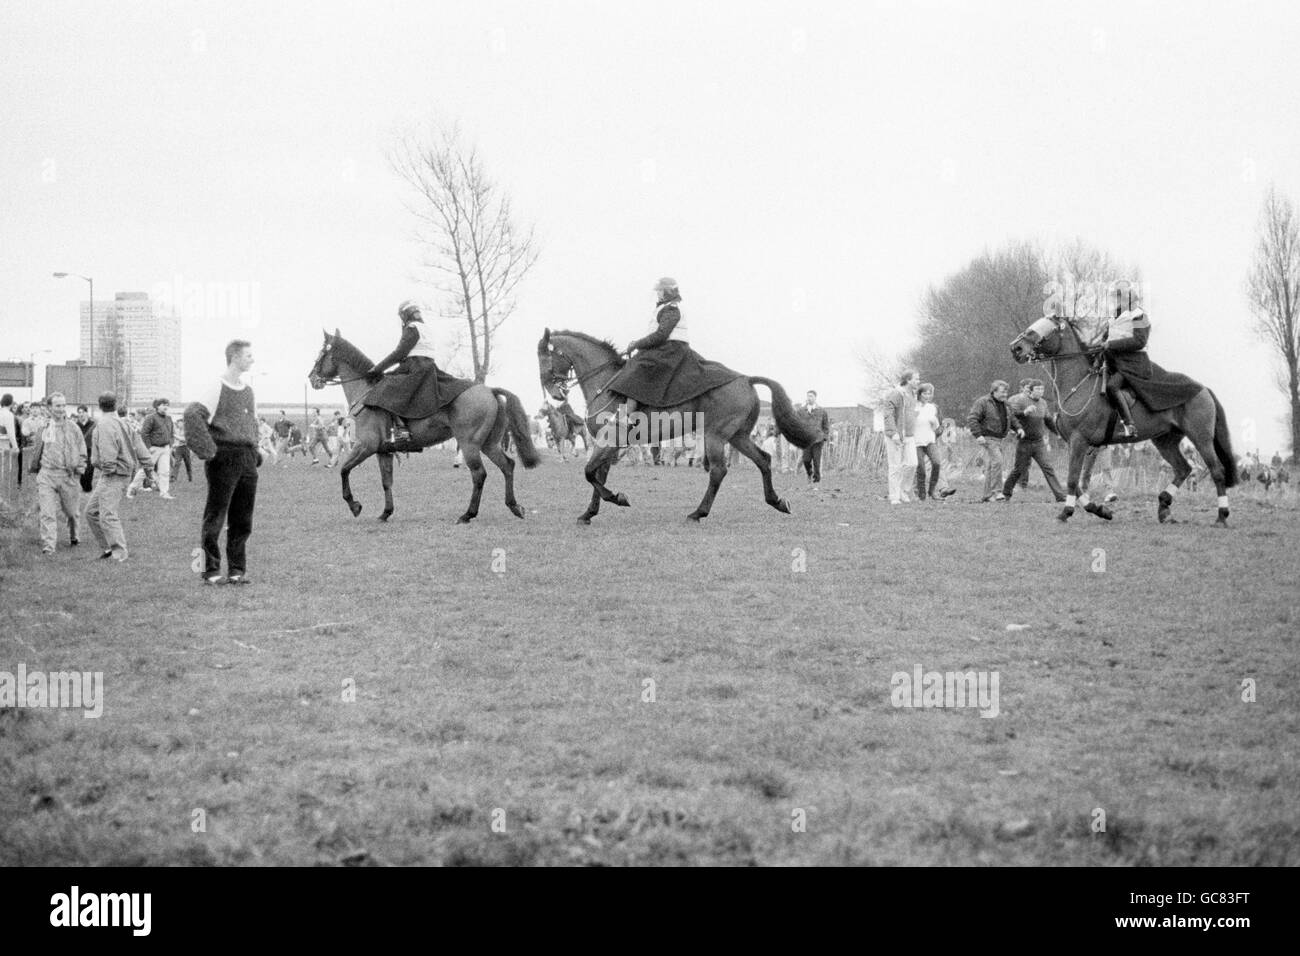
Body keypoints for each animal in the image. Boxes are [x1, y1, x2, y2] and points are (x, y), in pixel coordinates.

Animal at [308, 327, 538, 522]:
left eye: (321, 354)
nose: (311, 378)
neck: (366, 393)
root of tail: (489, 390)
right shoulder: (383, 451)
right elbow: (386, 482)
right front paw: (386, 513)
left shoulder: (366, 446)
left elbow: (344, 470)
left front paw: (354, 505)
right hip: (488, 444)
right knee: (507, 466)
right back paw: (514, 507)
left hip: (469, 444)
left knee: (479, 474)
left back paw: (468, 514)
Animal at [538, 329, 821, 522]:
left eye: (545, 356)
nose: (553, 392)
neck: (606, 383)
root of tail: (745, 379)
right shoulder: (607, 444)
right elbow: (598, 474)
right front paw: (589, 513)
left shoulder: (609, 441)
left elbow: (589, 473)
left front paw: (618, 498)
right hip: (737, 436)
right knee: (763, 460)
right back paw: (777, 501)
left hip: (715, 436)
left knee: (718, 471)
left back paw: (698, 513)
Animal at [1003, 314, 1237, 522]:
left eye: (1044, 327)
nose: (1015, 348)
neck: (1077, 384)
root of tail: (1203, 388)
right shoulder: (1074, 443)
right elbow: (1076, 483)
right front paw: (1099, 510)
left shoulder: (1079, 441)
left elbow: (1071, 480)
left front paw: (1066, 512)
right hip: (1165, 440)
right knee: (1183, 469)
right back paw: (1164, 507)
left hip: (1201, 438)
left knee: (1217, 471)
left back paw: (1221, 515)